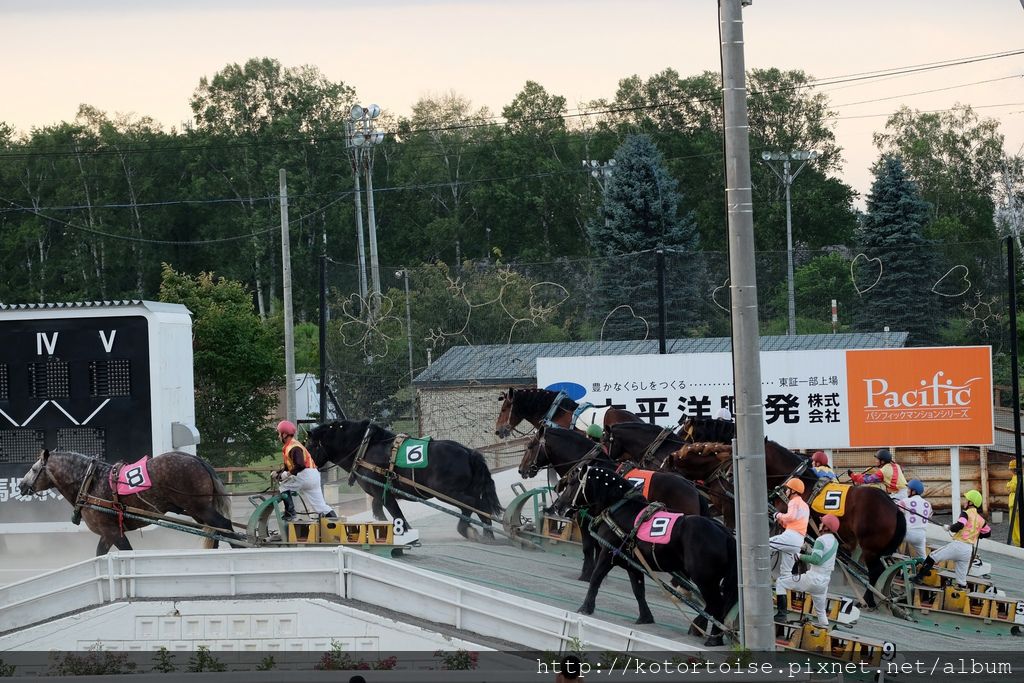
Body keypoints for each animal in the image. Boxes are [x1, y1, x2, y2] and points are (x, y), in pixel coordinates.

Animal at [18, 448, 235, 557]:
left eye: (34, 468)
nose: (21, 485)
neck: (90, 482)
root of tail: (199, 461)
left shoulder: (112, 532)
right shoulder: (108, 534)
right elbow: (100, 554)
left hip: (199, 507)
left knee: (224, 525)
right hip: (197, 511)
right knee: (216, 531)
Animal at [305, 419, 501, 540]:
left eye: (310, 445)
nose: (304, 464)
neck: (365, 448)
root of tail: (469, 453)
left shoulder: (383, 492)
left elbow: (396, 514)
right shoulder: (379, 494)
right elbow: (379, 513)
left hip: (446, 491)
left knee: (471, 504)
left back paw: (467, 530)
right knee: (481, 507)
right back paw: (488, 535)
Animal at [520, 428, 712, 581]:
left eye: (530, 446)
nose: (522, 469)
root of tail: (694, 490)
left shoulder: (584, 517)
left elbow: (589, 547)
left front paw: (586, 575)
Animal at [552, 464, 737, 647]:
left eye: (572, 483)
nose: (557, 505)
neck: (621, 509)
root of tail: (726, 534)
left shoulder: (608, 553)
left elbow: (596, 578)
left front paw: (586, 607)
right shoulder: (633, 563)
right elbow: (638, 590)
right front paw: (645, 617)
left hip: (705, 579)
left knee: (717, 605)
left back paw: (713, 637)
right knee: (718, 605)